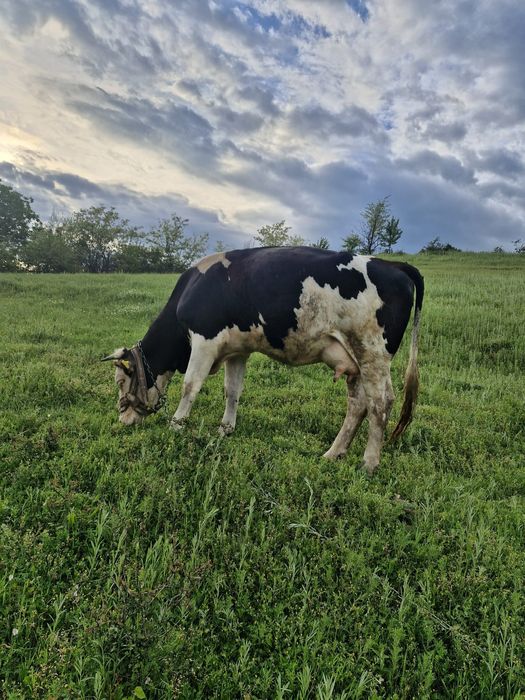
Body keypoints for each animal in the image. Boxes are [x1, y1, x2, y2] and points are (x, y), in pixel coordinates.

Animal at [103, 246, 424, 474]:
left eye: (120, 381)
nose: (122, 420)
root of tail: (391, 264)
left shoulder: (205, 340)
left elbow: (190, 386)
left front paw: (176, 426)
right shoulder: (238, 349)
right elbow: (232, 390)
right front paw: (226, 429)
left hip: (371, 351)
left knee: (380, 403)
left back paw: (369, 463)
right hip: (354, 360)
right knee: (358, 405)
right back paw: (333, 453)